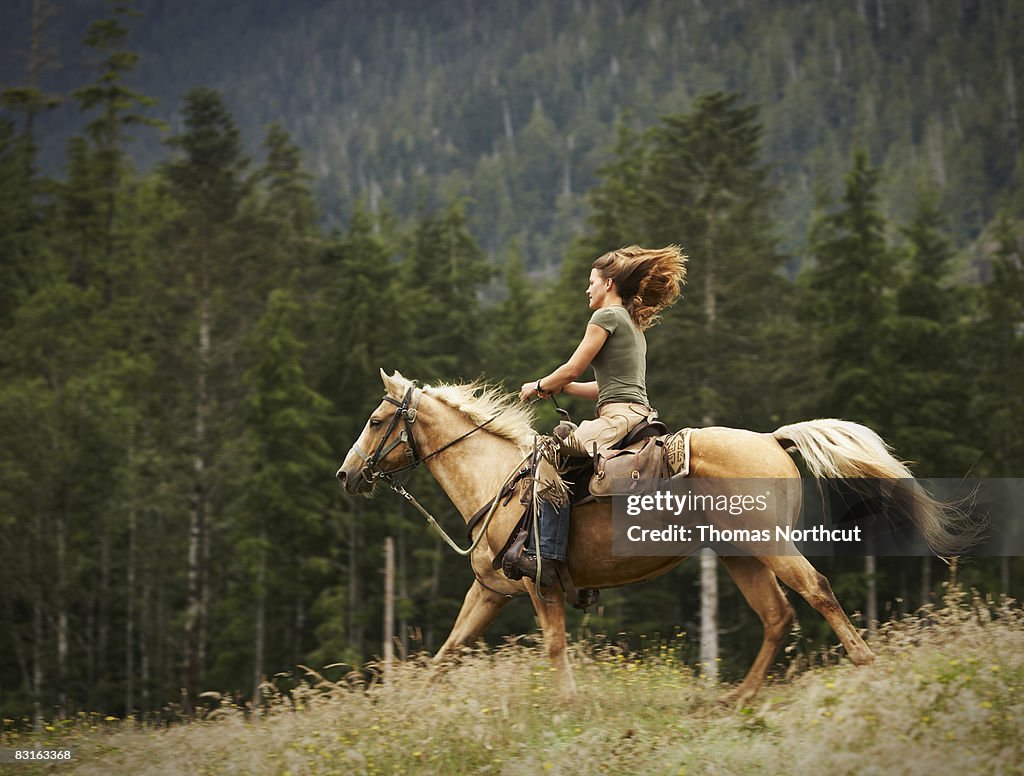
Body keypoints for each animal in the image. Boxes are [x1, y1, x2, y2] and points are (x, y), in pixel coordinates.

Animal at [335, 370, 966, 704]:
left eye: (375, 421)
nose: (347, 474)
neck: (499, 482)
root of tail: (772, 439)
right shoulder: (490, 591)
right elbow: (449, 650)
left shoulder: (540, 585)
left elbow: (554, 645)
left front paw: (569, 705)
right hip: (740, 556)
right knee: (777, 615)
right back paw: (736, 697)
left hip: (769, 546)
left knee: (816, 592)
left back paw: (864, 665)